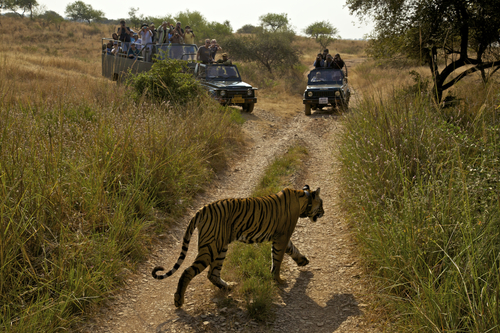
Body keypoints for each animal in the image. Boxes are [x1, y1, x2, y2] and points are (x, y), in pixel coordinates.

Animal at [151, 184, 324, 306]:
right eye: (321, 204)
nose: (324, 212)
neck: (304, 199)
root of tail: (203, 209)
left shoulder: (281, 236)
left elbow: (291, 248)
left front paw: (302, 261)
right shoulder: (282, 236)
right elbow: (278, 259)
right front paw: (279, 280)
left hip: (220, 247)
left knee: (212, 273)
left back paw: (228, 287)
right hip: (211, 247)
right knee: (188, 271)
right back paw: (178, 301)